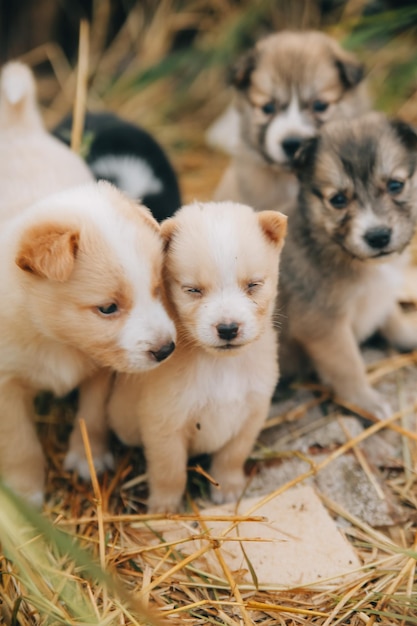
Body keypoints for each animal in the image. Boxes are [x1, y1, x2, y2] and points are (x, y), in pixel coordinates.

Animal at [0, 180, 175, 502]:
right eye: (107, 308)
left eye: (157, 289)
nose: (166, 350)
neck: (55, 338)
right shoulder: (6, 386)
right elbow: (19, 444)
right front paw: (25, 495)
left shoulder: (100, 371)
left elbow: (91, 417)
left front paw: (88, 458)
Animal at [107, 200, 286, 512]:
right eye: (193, 290)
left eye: (253, 285)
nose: (228, 329)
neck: (221, 366)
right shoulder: (164, 423)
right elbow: (169, 471)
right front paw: (165, 506)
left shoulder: (252, 414)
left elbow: (232, 456)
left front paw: (229, 487)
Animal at [276, 114, 416, 420]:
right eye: (338, 200)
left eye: (395, 185)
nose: (378, 236)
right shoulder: (324, 326)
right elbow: (348, 365)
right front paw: (367, 401)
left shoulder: (380, 296)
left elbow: (394, 319)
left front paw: (410, 333)